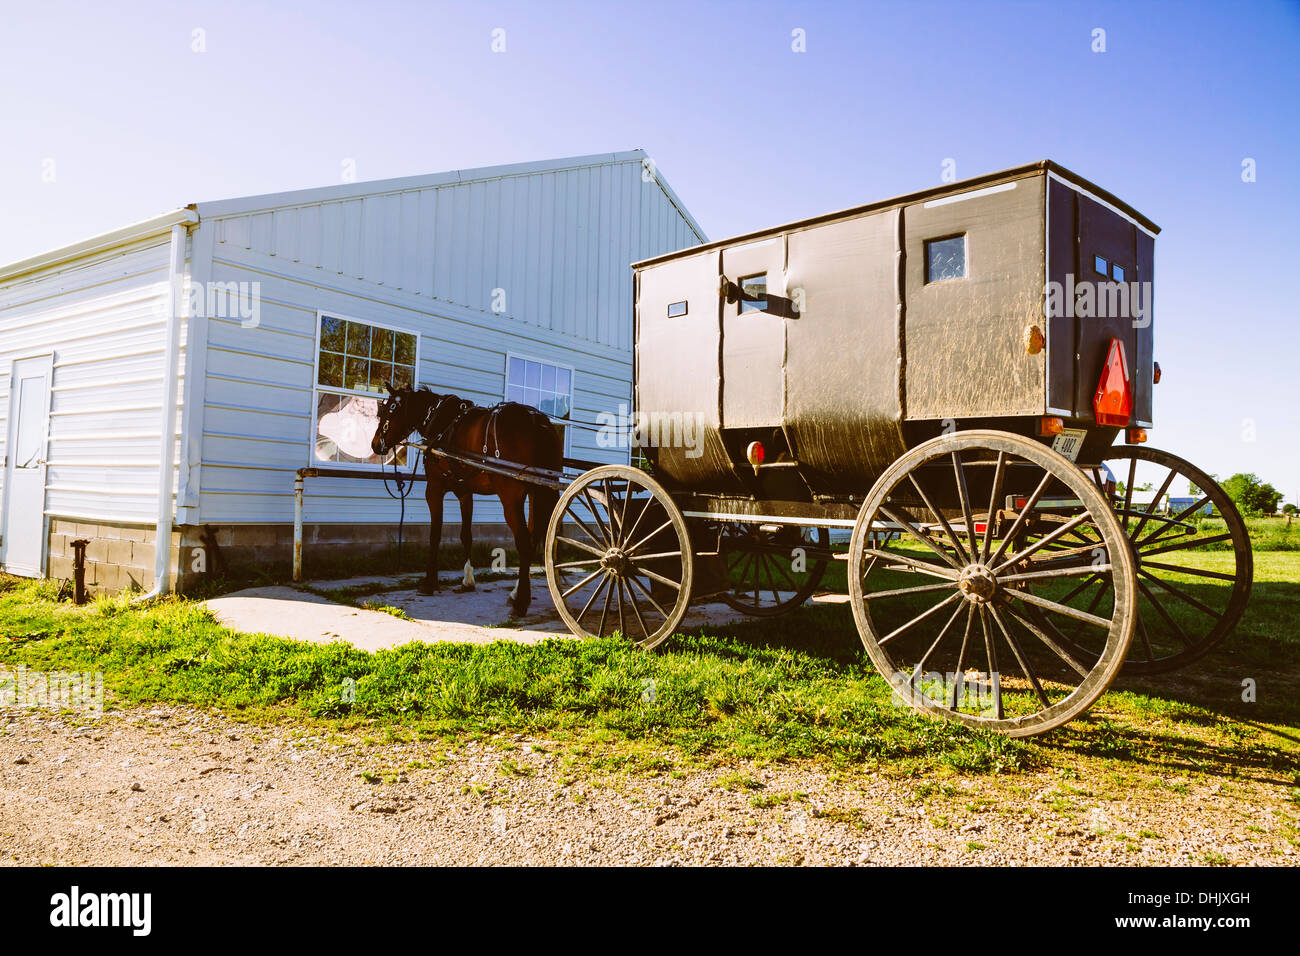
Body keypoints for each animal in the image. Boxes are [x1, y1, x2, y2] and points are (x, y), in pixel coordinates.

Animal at [371, 385, 564, 616]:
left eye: (388, 412)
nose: (375, 445)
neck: (440, 422)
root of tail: (536, 420)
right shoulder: (464, 492)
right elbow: (466, 535)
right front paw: (467, 580)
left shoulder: (434, 488)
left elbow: (434, 535)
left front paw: (429, 582)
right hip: (537, 491)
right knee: (534, 539)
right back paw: (517, 593)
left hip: (511, 497)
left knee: (524, 543)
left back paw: (521, 603)